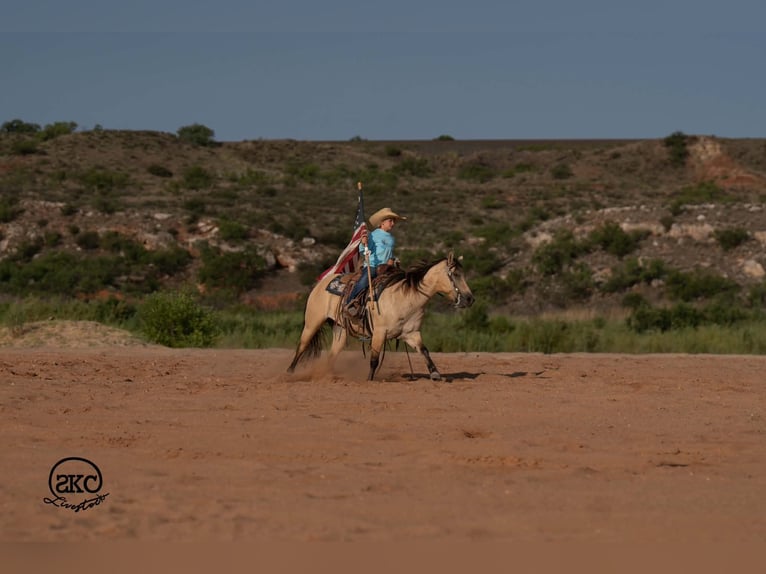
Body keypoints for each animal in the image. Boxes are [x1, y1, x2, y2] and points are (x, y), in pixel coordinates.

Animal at [287, 252, 475, 381]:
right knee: (301, 346)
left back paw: (326, 375)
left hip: (340, 330)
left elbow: (424, 350)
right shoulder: (379, 332)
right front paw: (369, 380)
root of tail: (322, 282)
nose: (470, 299)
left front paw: (435, 373)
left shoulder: (411, 333)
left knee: (332, 354)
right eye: (456, 274)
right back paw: (289, 373)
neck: (405, 297)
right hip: (312, 322)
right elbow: (374, 359)